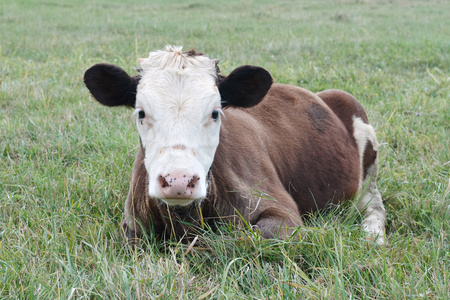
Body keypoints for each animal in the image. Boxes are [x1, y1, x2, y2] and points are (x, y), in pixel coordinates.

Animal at [84, 45, 386, 246]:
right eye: (141, 113)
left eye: (215, 112)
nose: (179, 180)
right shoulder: (132, 227)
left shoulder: (283, 213)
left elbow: (245, 238)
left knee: (374, 205)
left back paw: (372, 234)